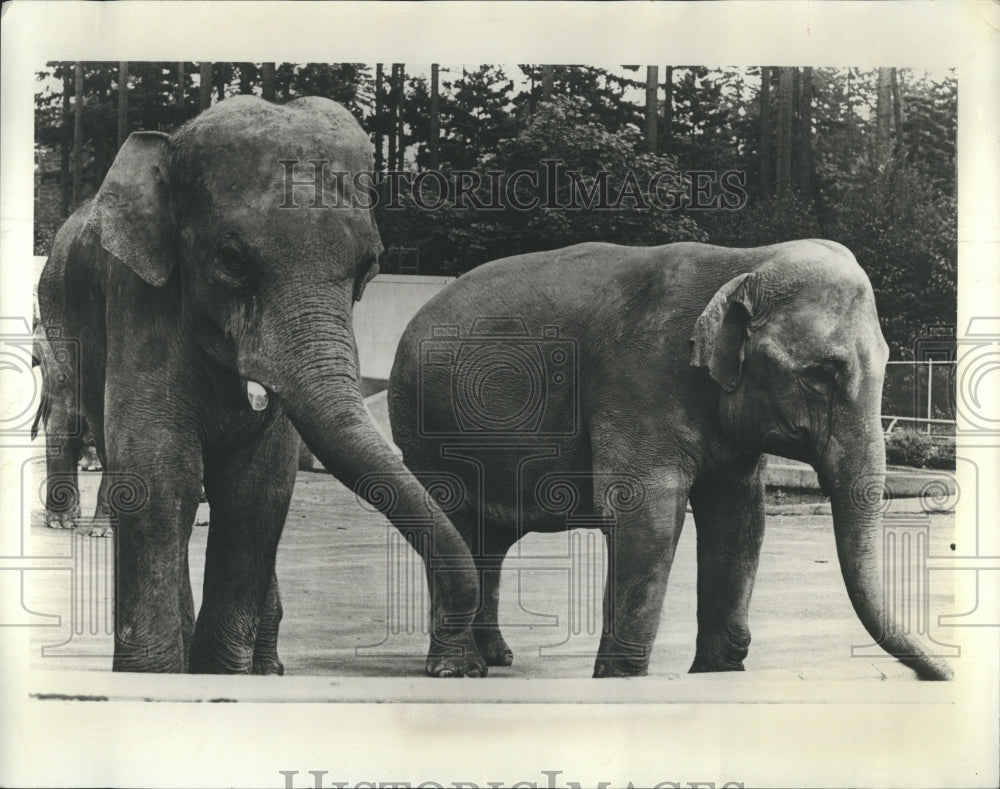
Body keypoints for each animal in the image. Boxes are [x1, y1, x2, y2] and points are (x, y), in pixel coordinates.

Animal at [35, 97, 480, 676]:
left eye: (370, 267)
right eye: (232, 261)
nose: (462, 668)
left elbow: (258, 489)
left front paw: (218, 672)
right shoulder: (138, 299)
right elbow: (160, 477)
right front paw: (157, 674)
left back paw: (265, 666)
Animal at [388, 239, 952, 676]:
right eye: (820, 374)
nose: (939, 674)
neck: (743, 260)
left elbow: (739, 518)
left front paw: (718, 673)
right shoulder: (638, 384)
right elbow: (647, 514)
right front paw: (619, 677)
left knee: (489, 540)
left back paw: (496, 657)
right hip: (426, 431)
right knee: (454, 521)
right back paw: (458, 668)